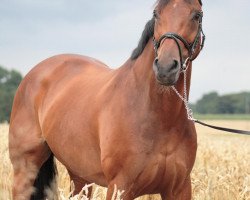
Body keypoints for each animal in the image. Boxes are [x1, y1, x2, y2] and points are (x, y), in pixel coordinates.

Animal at [9, 0, 205, 199]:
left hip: (80, 177)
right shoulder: (120, 187)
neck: (160, 118)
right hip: (25, 170)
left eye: (197, 15)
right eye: (156, 14)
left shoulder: (179, 189)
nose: (165, 68)